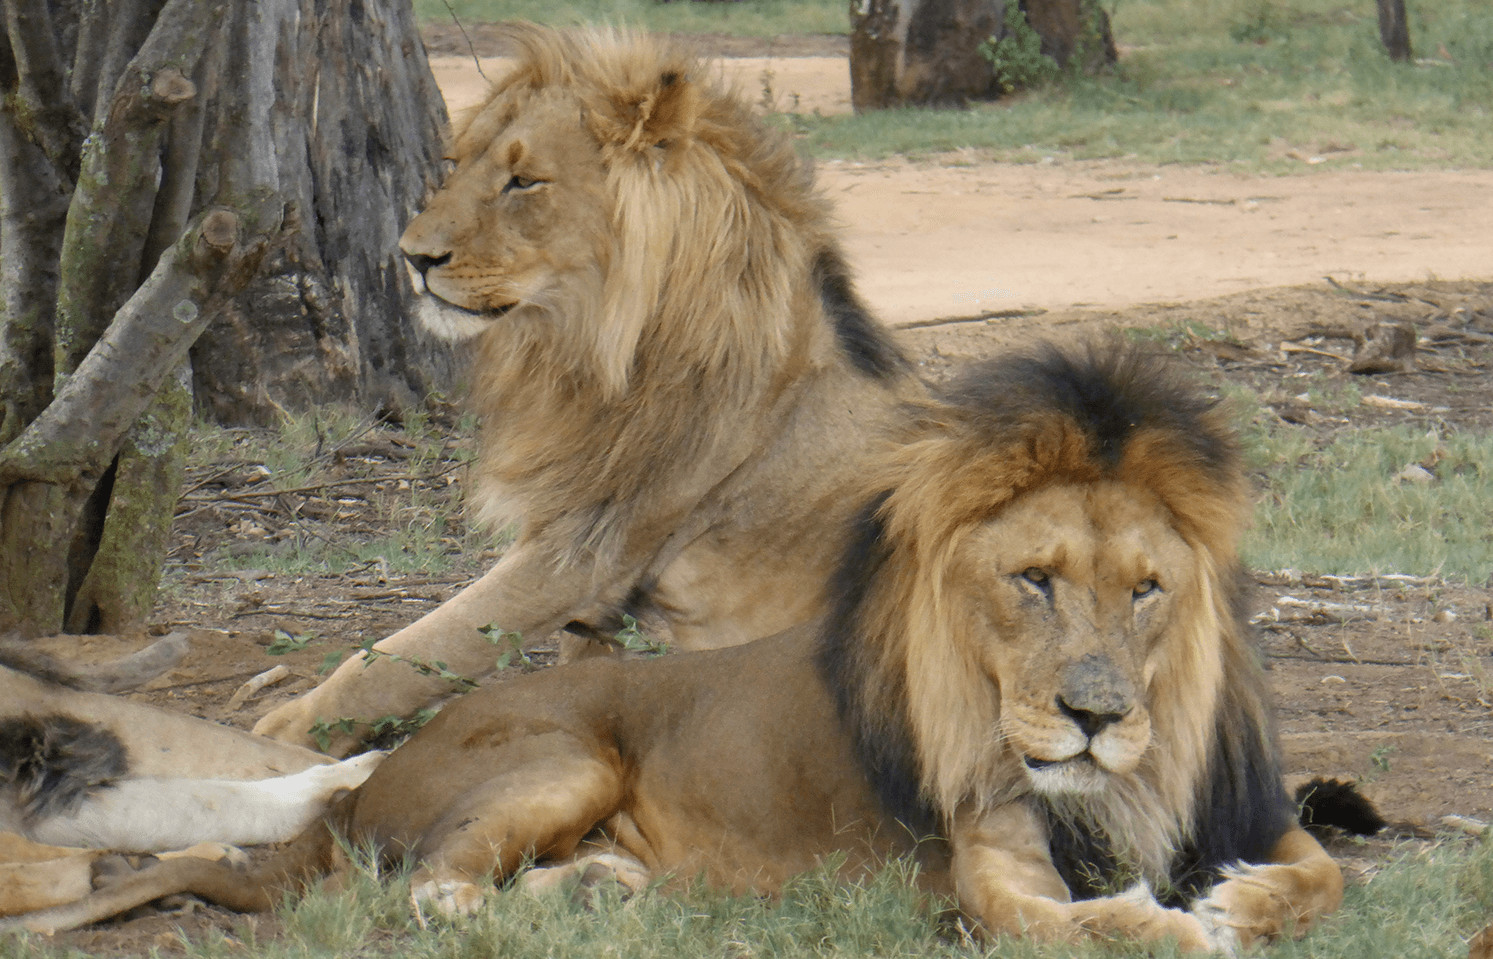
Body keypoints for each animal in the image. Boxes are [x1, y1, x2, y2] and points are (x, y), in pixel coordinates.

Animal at [10, 343, 1343, 952]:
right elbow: (1086, 919)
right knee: (433, 888)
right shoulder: (990, 876)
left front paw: (1236, 892)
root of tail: (347, 798)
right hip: (560, 752)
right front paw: (1185, 919)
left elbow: (1325, 868)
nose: (1095, 714)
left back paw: (603, 883)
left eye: (1146, 590)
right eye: (1032, 581)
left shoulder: (1251, 808)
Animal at [251, 25, 928, 756]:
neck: (581, 352)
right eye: (457, 165)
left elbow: (412, 649)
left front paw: (284, 729)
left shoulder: (587, 545)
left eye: (523, 180)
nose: (412, 257)